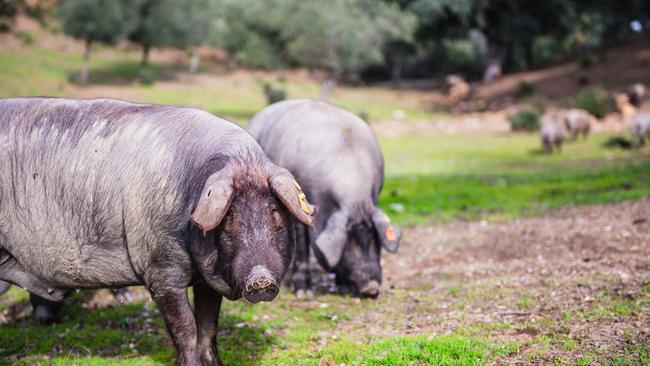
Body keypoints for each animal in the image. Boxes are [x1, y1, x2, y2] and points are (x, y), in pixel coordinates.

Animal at [0, 97, 314, 366]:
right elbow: (185, 328)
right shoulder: (159, 269)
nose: (260, 278)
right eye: (229, 218)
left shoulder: (206, 279)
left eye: (275, 213)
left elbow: (208, 327)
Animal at [247, 98, 400, 298]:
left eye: (374, 238)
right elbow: (302, 250)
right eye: (348, 241)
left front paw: (343, 289)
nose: (371, 288)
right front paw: (304, 293)